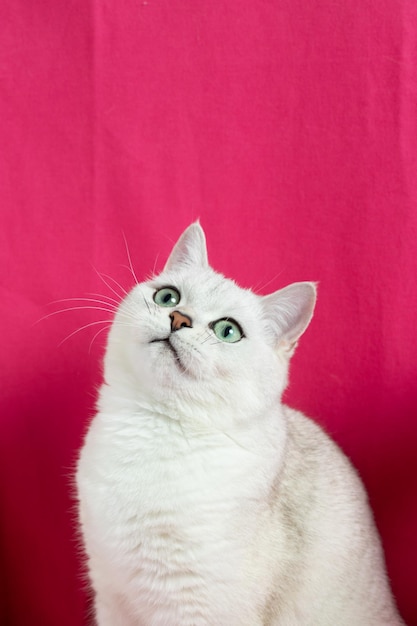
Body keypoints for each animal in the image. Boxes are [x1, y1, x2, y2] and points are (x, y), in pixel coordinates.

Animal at [75, 222, 404, 620]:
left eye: (227, 331)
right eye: (167, 297)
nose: (178, 318)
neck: (153, 427)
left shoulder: (195, 608)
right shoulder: (110, 596)